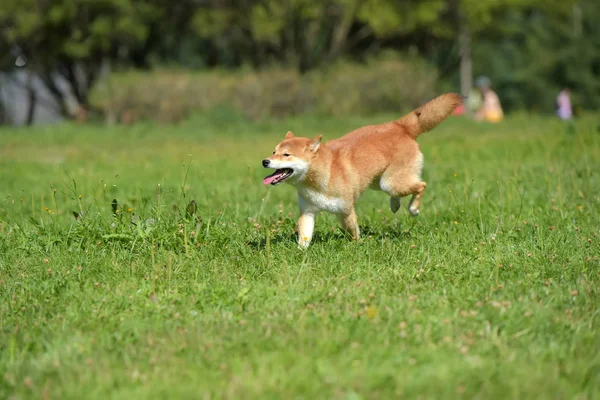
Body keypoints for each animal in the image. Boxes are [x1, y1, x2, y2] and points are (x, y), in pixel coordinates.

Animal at [260, 92, 462, 248]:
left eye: (286, 155)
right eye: (274, 151)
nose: (265, 161)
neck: (321, 176)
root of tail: (400, 126)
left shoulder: (345, 210)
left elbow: (353, 232)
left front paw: (357, 246)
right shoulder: (308, 212)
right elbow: (304, 237)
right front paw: (299, 254)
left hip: (391, 182)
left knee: (421, 185)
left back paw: (412, 209)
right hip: (378, 182)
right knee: (402, 190)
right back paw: (395, 204)